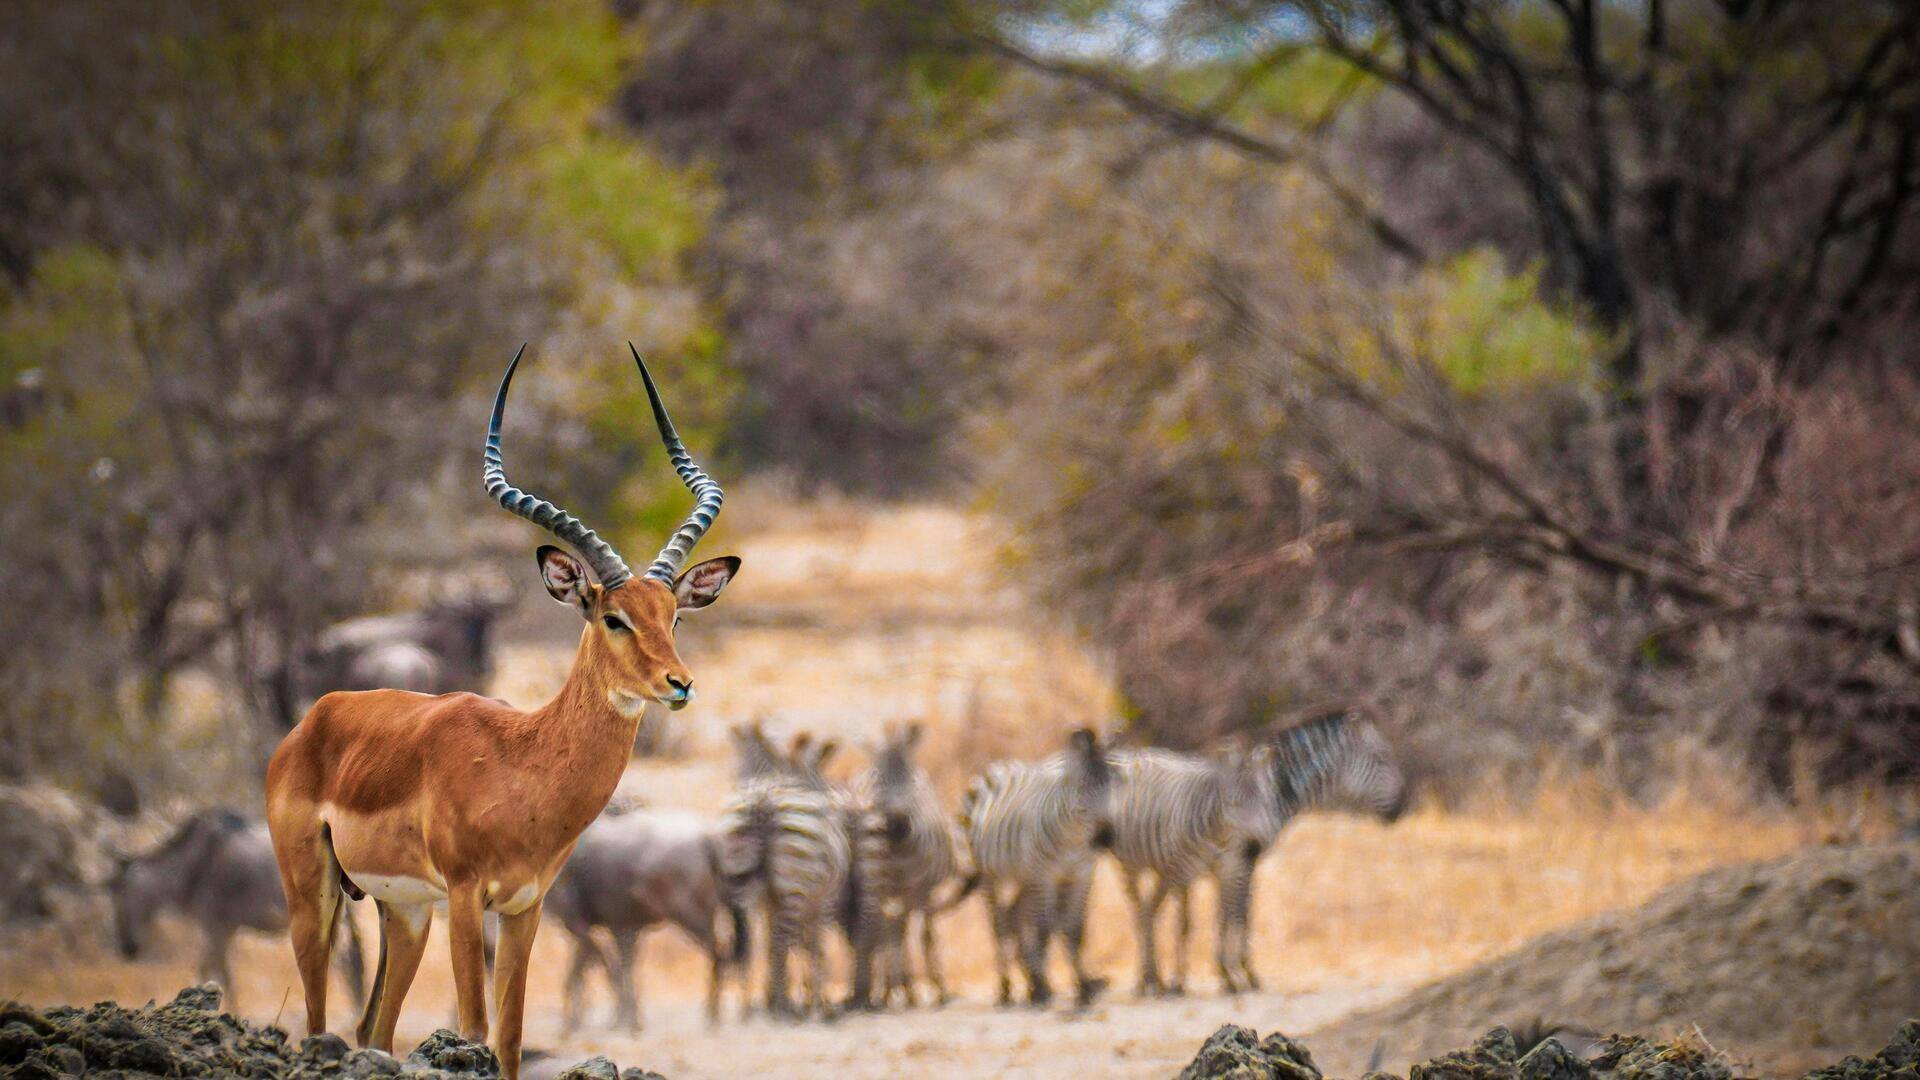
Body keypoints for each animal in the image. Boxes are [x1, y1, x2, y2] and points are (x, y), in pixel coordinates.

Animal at [852, 718, 967, 1006]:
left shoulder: (921, 888)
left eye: (909, 781)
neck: (898, 851)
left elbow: (924, 935)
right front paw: (895, 988)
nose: (897, 826)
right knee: (888, 930)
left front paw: (937, 988)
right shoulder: (881, 888)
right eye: (878, 781)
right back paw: (890, 987)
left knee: (901, 928)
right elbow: (888, 933)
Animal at [956, 722, 1121, 1006]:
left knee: (1013, 916)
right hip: (991, 876)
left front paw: (1083, 988)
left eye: (1111, 786)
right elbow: (1044, 928)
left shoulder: (1081, 875)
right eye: (1083, 787)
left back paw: (1030, 982)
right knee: (999, 925)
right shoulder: (1045, 876)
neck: (1074, 839)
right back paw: (1007, 989)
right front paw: (1044, 988)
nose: (1105, 837)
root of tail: (998, 765)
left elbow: (1075, 930)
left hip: (1025, 876)